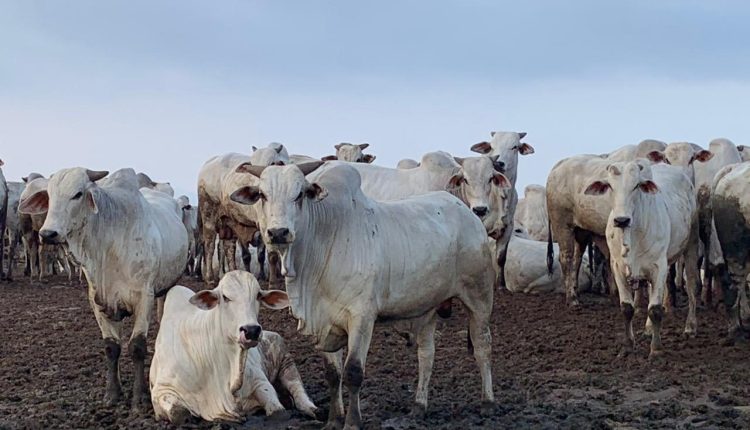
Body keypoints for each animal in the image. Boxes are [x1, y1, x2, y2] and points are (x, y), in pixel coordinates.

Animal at [19, 166, 189, 408]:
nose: (48, 233)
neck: (108, 245)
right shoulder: (98, 301)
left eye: (78, 194)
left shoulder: (143, 298)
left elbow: (137, 347)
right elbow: (111, 347)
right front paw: (112, 393)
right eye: (50, 196)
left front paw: (138, 398)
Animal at [150, 272, 318, 424]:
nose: (251, 330)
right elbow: (179, 414)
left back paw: (311, 408)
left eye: (258, 295)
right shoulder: (162, 390)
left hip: (286, 361)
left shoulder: (259, 379)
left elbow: (278, 411)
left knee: (296, 386)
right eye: (225, 297)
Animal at [232, 163, 496, 428]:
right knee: (426, 354)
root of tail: (468, 213)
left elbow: (353, 372)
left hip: (479, 296)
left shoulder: (362, 318)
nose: (278, 232)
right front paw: (334, 420)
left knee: (482, 345)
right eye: (262, 195)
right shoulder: (325, 324)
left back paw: (487, 403)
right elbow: (333, 374)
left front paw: (352, 422)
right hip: (427, 308)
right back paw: (419, 406)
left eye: (299, 195)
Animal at [584, 160, 704, 358]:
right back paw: (648, 329)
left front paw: (656, 349)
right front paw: (627, 346)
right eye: (610, 186)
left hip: (692, 244)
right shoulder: (617, 267)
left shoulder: (659, 266)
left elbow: (655, 309)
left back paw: (690, 327)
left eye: (636, 186)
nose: (621, 220)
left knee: (693, 286)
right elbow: (627, 308)